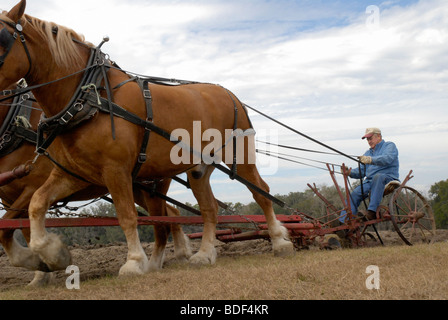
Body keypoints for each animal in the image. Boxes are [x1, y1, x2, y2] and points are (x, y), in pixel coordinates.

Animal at [0, 0, 294, 276]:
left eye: (2, 40)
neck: (89, 96)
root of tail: (228, 93)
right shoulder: (73, 174)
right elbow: (37, 205)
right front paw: (53, 255)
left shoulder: (115, 170)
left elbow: (127, 215)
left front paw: (133, 262)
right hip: (197, 169)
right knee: (208, 208)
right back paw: (203, 254)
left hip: (239, 156)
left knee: (261, 193)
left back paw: (279, 241)